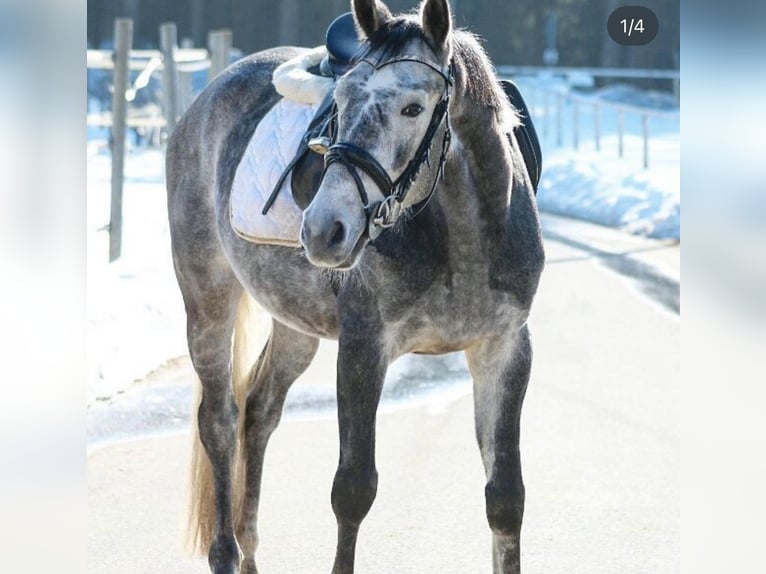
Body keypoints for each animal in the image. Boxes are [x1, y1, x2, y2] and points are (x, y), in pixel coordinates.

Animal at [165, 0, 545, 572]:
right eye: (338, 103)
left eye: (413, 108)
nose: (325, 229)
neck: (464, 235)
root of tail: (201, 103)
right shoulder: (364, 347)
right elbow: (353, 489)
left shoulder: (504, 348)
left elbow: (506, 497)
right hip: (207, 298)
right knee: (220, 421)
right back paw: (227, 554)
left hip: (295, 325)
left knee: (258, 412)